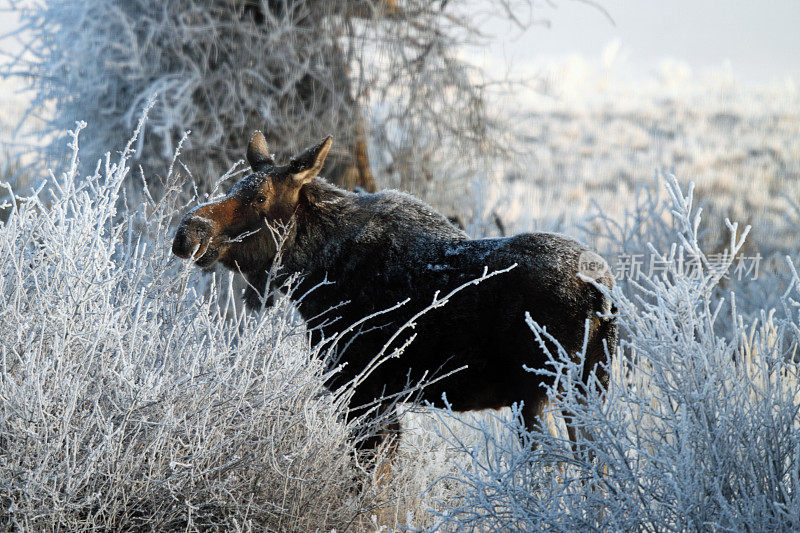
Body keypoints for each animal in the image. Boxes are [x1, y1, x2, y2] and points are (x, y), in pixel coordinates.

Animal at [172, 131, 616, 456]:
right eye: (235, 187)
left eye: (260, 196)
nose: (187, 232)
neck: (311, 277)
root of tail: (602, 293)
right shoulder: (382, 400)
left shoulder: (361, 391)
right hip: (587, 388)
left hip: (546, 389)